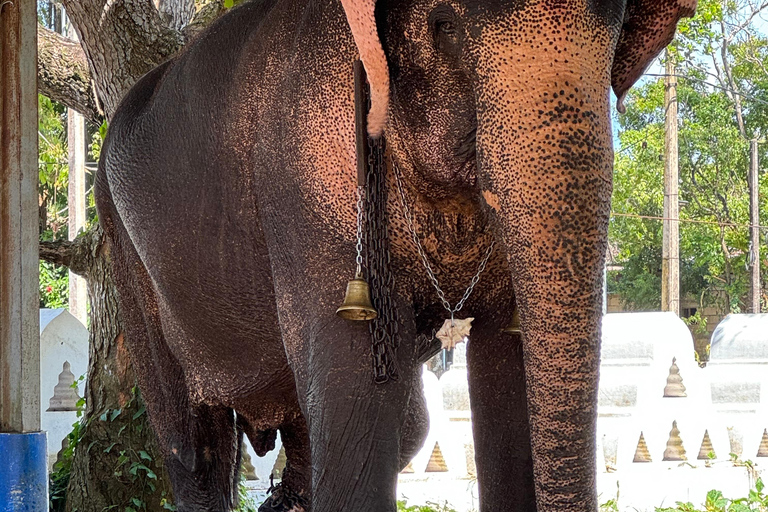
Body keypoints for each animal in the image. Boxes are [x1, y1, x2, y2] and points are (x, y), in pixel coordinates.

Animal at [94, 0, 696, 510]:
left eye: (617, 33)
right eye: (445, 26)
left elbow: (506, 368)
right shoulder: (306, 174)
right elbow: (357, 402)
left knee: (366, 428)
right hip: (124, 251)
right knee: (195, 449)